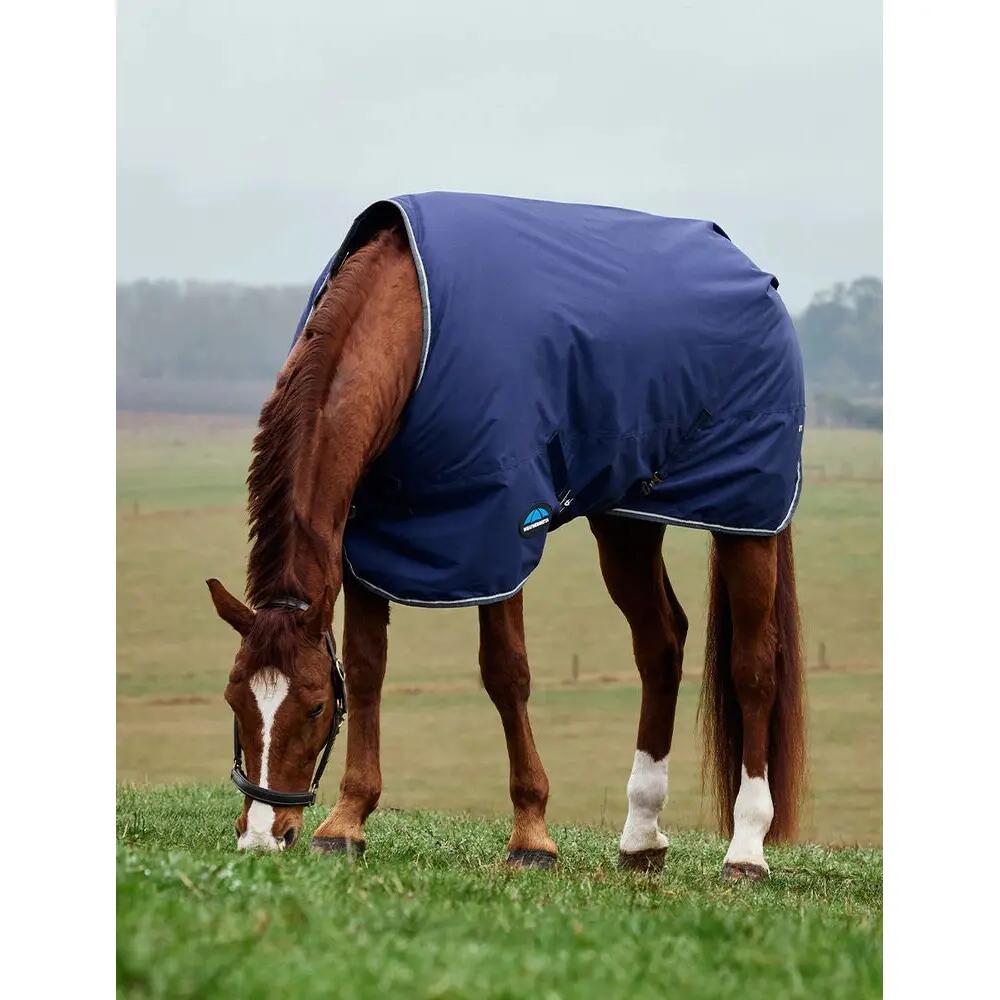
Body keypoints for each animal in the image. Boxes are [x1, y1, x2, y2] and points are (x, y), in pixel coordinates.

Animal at [207, 193, 805, 879]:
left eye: (311, 707)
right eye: (234, 700)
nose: (261, 835)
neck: (413, 325)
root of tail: (751, 272)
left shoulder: (498, 533)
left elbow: (505, 673)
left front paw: (531, 835)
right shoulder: (368, 544)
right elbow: (365, 668)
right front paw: (348, 820)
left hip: (747, 516)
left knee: (753, 665)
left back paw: (746, 849)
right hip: (626, 520)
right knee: (660, 645)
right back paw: (640, 835)